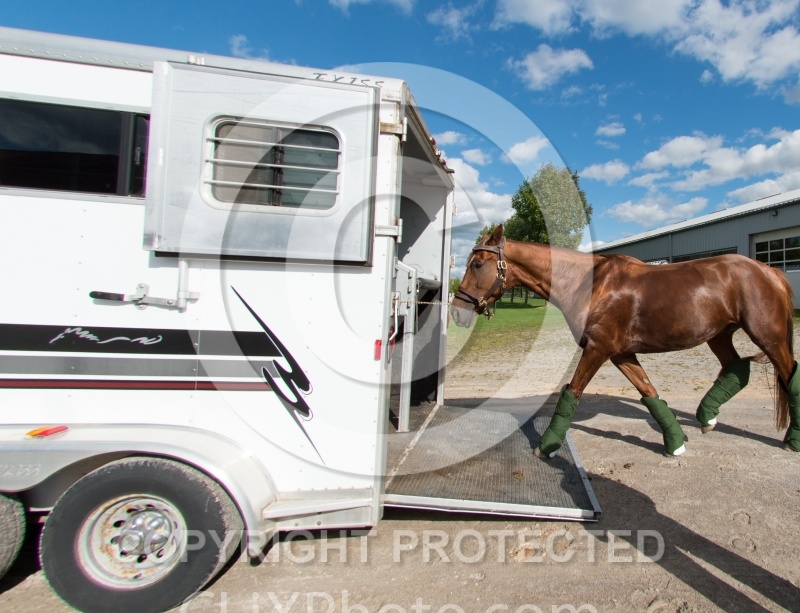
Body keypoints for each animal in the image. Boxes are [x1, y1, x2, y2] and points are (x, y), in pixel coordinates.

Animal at [451, 224, 800, 457]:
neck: (589, 284)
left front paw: (546, 445)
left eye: (477, 264)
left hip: (768, 338)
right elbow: (649, 392)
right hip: (719, 335)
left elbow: (572, 391)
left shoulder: (597, 349)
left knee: (788, 375)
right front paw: (675, 442)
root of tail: (770, 271)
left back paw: (791, 441)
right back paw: (706, 416)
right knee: (737, 369)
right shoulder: (620, 354)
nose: (457, 312)